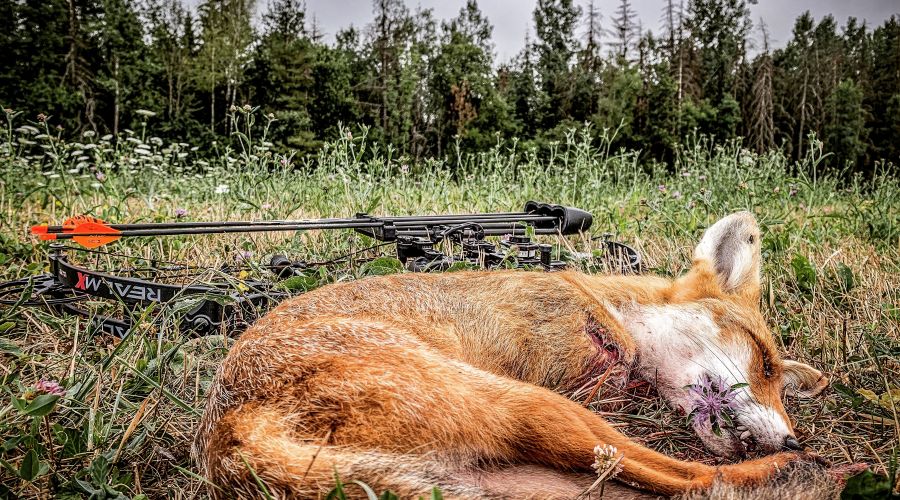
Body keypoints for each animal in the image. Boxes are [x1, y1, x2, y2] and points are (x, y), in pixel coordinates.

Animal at [195, 213, 828, 498]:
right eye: (764, 363)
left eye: (778, 378)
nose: (793, 437)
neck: (602, 313)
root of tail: (227, 438)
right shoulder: (561, 378)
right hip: (538, 406)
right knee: (690, 476)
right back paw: (787, 472)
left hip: (515, 470)